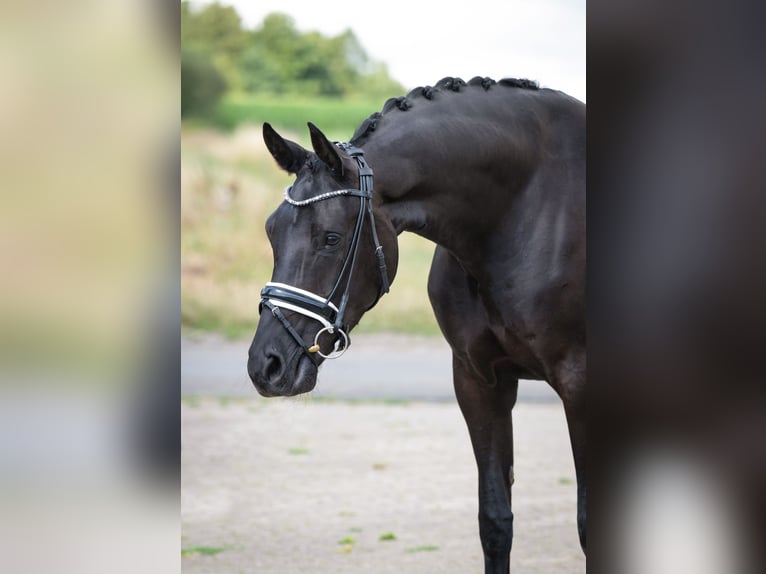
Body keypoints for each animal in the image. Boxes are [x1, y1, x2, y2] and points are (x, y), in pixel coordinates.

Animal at [247, 76, 585, 573]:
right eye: (272, 231)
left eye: (330, 237)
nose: (265, 366)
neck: (523, 211)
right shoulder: (478, 380)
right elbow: (495, 519)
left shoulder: (580, 387)